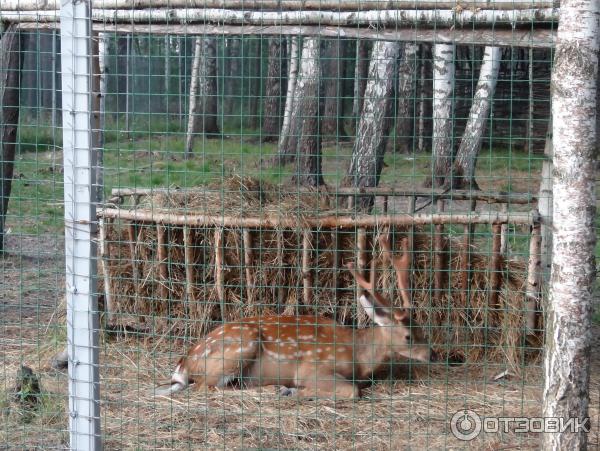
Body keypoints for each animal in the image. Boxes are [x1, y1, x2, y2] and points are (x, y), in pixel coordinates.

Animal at [156, 237, 436, 400]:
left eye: (422, 328)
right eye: (408, 336)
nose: (433, 354)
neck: (358, 357)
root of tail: (184, 363)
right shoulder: (314, 367)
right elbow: (352, 390)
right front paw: (294, 390)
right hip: (240, 345)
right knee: (206, 386)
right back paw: (276, 388)